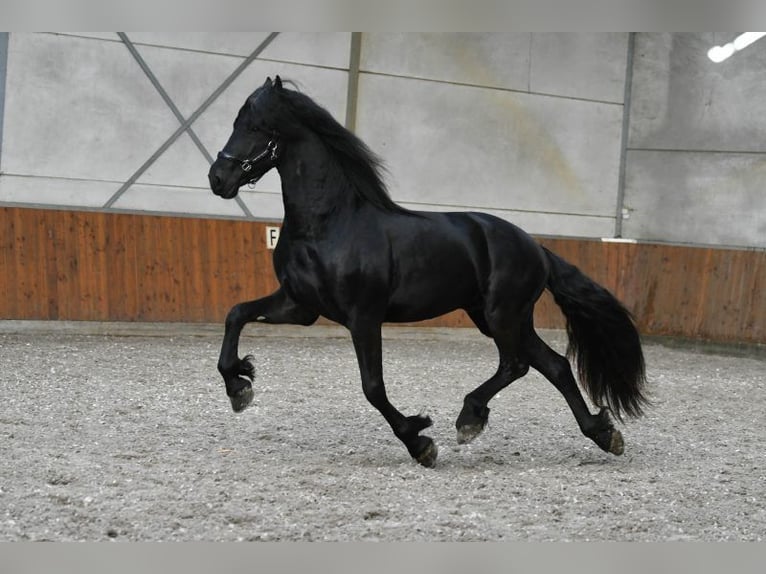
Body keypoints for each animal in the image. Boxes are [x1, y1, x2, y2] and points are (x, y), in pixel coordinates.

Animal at [207, 76, 647, 468]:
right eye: (236, 122)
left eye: (256, 126)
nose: (217, 178)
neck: (326, 225)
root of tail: (535, 246)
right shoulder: (300, 307)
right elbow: (235, 314)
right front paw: (239, 385)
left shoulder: (363, 317)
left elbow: (373, 387)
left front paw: (419, 441)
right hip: (499, 317)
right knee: (553, 365)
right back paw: (603, 434)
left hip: (502, 315)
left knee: (517, 364)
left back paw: (470, 419)